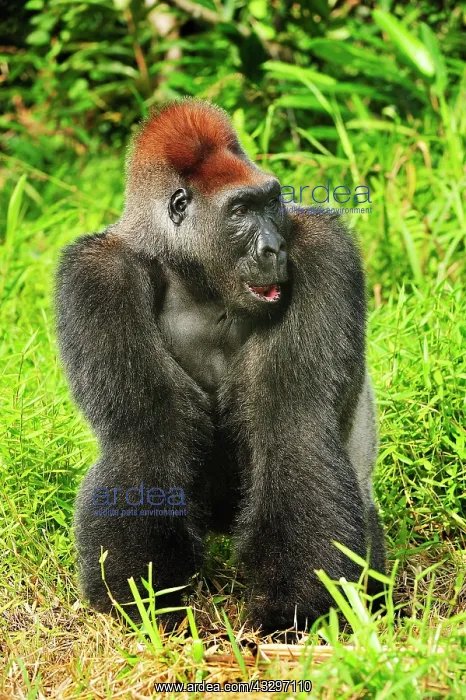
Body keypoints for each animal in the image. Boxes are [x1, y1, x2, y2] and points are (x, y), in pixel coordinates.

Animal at [56, 99, 386, 634]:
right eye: (240, 212)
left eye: (271, 203)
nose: (275, 249)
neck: (192, 272)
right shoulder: (98, 275)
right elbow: (147, 432)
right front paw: (145, 597)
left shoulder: (321, 248)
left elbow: (291, 425)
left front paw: (294, 605)